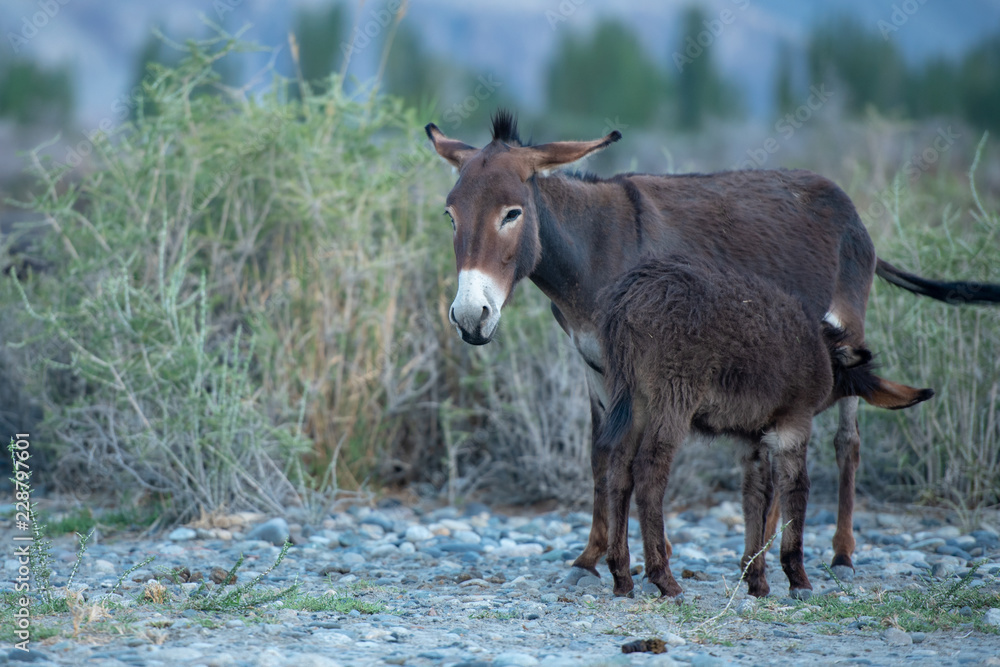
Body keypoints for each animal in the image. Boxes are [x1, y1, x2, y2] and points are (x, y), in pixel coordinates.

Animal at [596, 258, 932, 600]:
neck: (823, 351)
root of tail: (629, 297)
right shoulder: (794, 423)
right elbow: (796, 488)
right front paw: (798, 578)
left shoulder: (752, 438)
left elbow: (757, 494)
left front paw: (755, 578)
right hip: (673, 398)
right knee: (649, 472)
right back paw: (664, 578)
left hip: (634, 401)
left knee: (619, 471)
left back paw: (621, 576)